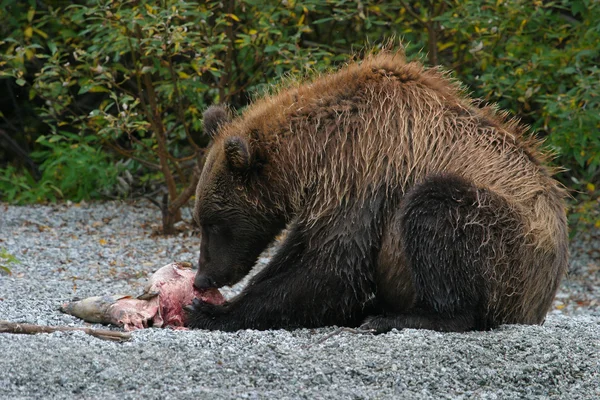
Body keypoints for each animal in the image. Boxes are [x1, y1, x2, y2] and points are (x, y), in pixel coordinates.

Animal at [186, 50, 568, 332]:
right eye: (203, 221)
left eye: (213, 223)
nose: (202, 278)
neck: (314, 151)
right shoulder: (329, 192)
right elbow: (299, 252)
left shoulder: (367, 170)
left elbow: (335, 265)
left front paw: (209, 313)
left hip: (510, 246)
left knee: (437, 208)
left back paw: (398, 317)